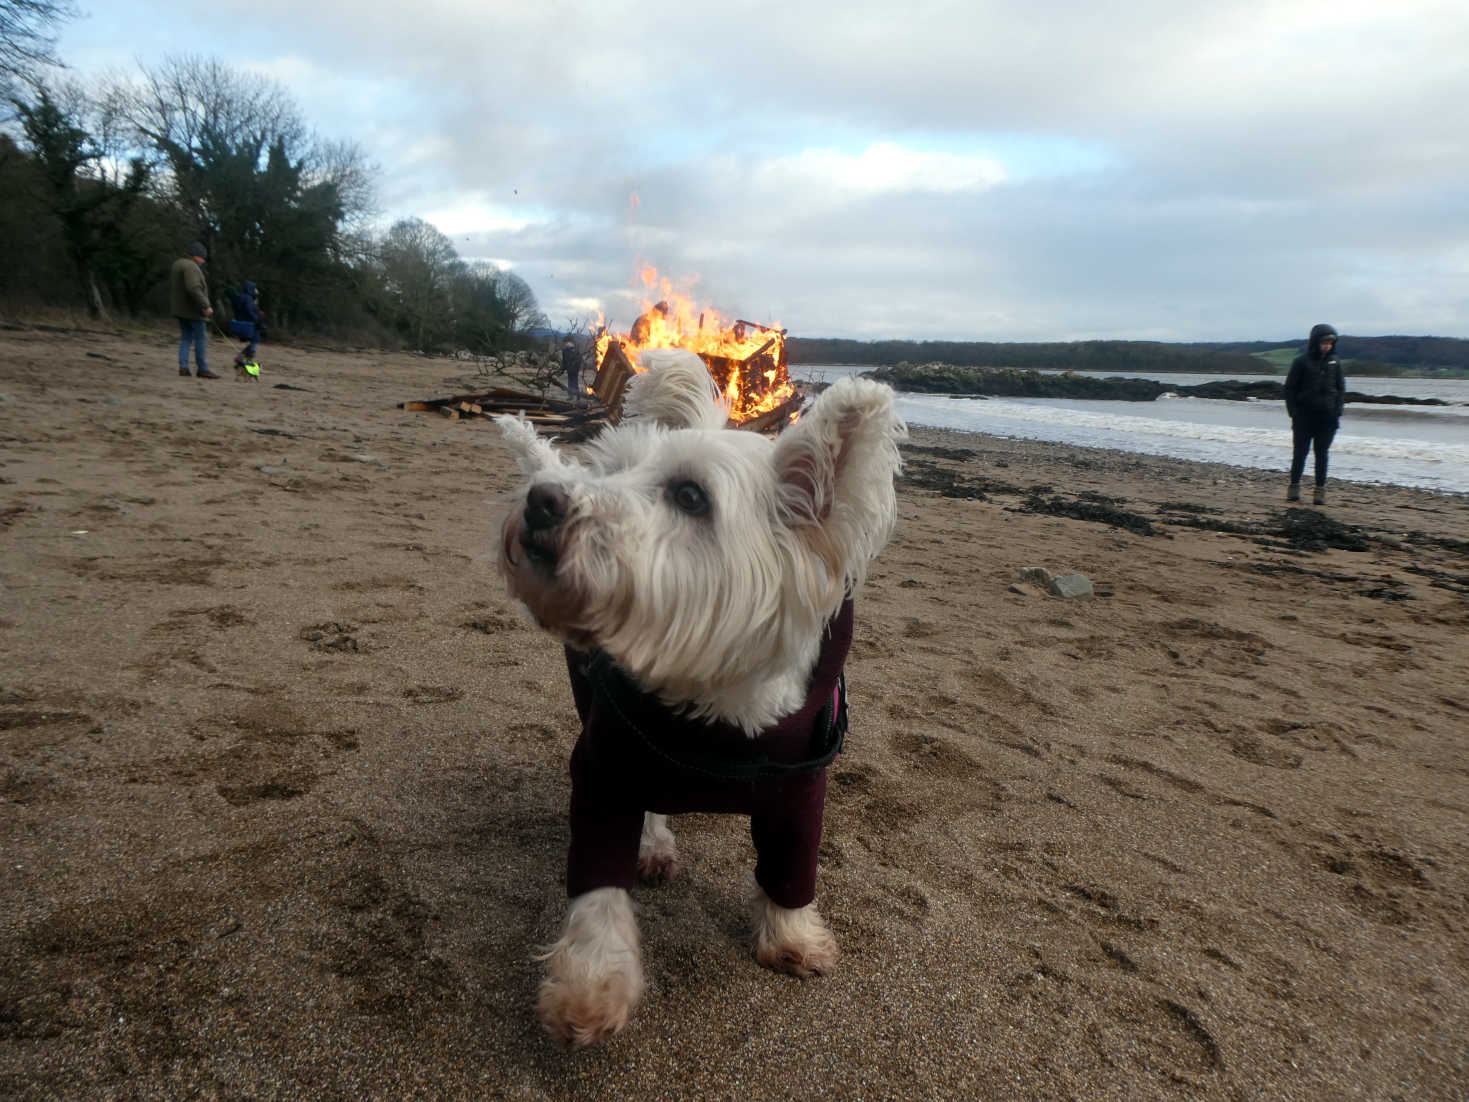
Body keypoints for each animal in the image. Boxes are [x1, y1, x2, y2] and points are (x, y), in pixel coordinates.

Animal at [496, 349, 904, 1046]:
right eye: (615, 471)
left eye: (691, 496)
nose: (542, 500)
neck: (715, 708)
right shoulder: (606, 766)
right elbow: (598, 884)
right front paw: (591, 986)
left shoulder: (800, 789)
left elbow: (791, 867)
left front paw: (792, 938)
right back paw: (654, 845)